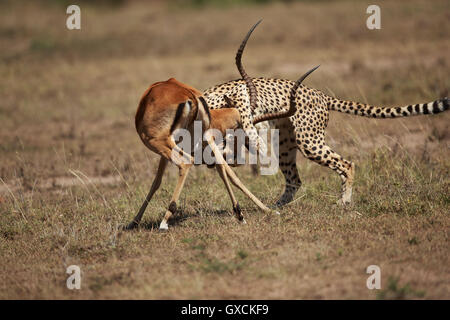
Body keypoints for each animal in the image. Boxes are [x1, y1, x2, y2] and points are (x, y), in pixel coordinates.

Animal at [202, 21, 448, 206]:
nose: (234, 154)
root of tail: (321, 94)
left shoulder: (239, 95)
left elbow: (244, 110)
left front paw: (253, 143)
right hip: (287, 144)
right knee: (295, 180)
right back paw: (277, 206)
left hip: (309, 141)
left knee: (347, 164)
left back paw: (344, 201)